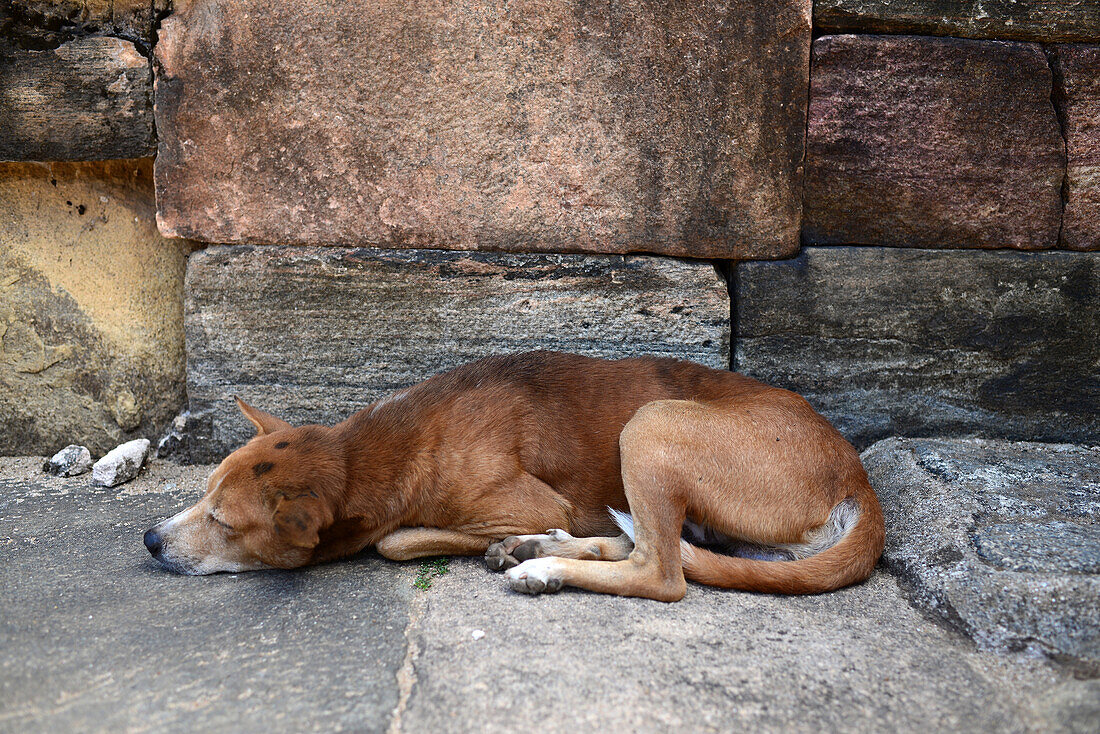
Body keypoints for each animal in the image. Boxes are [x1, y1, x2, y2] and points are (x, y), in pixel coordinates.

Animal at [144, 352, 884, 603]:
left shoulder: (530, 500)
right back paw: (541, 551)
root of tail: (856, 475)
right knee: (647, 545)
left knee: (662, 572)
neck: (386, 447)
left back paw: (542, 565)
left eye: (222, 521)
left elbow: (395, 540)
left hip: (650, 424)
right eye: (202, 495)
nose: (149, 540)